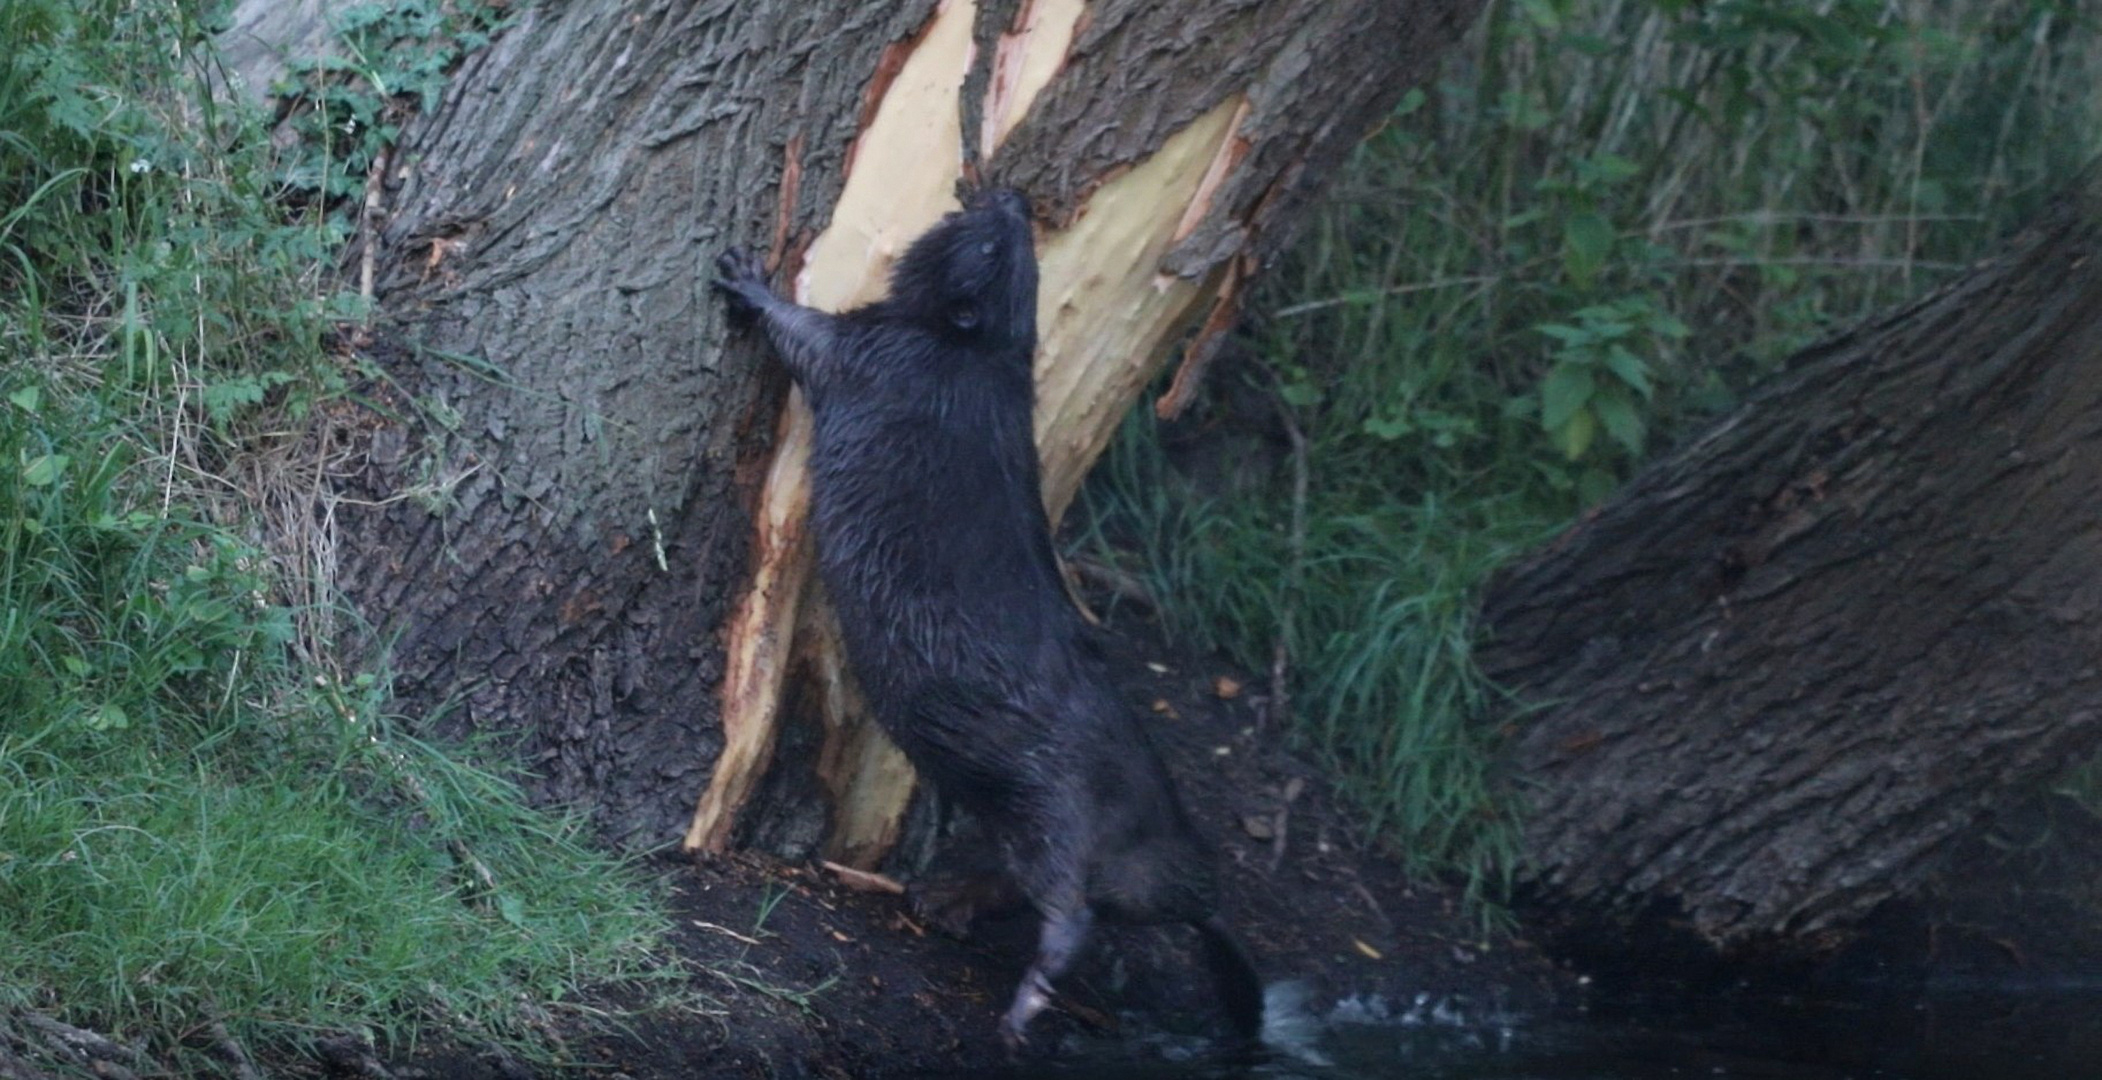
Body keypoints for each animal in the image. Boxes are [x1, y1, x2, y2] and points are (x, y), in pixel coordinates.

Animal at [714, 187, 1252, 1042]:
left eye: (997, 249)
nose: (1008, 199)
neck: (982, 360)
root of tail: (1184, 878)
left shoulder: (883, 357)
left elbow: (811, 339)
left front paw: (745, 276)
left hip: (1052, 809)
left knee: (1068, 910)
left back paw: (1023, 1002)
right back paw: (942, 899)